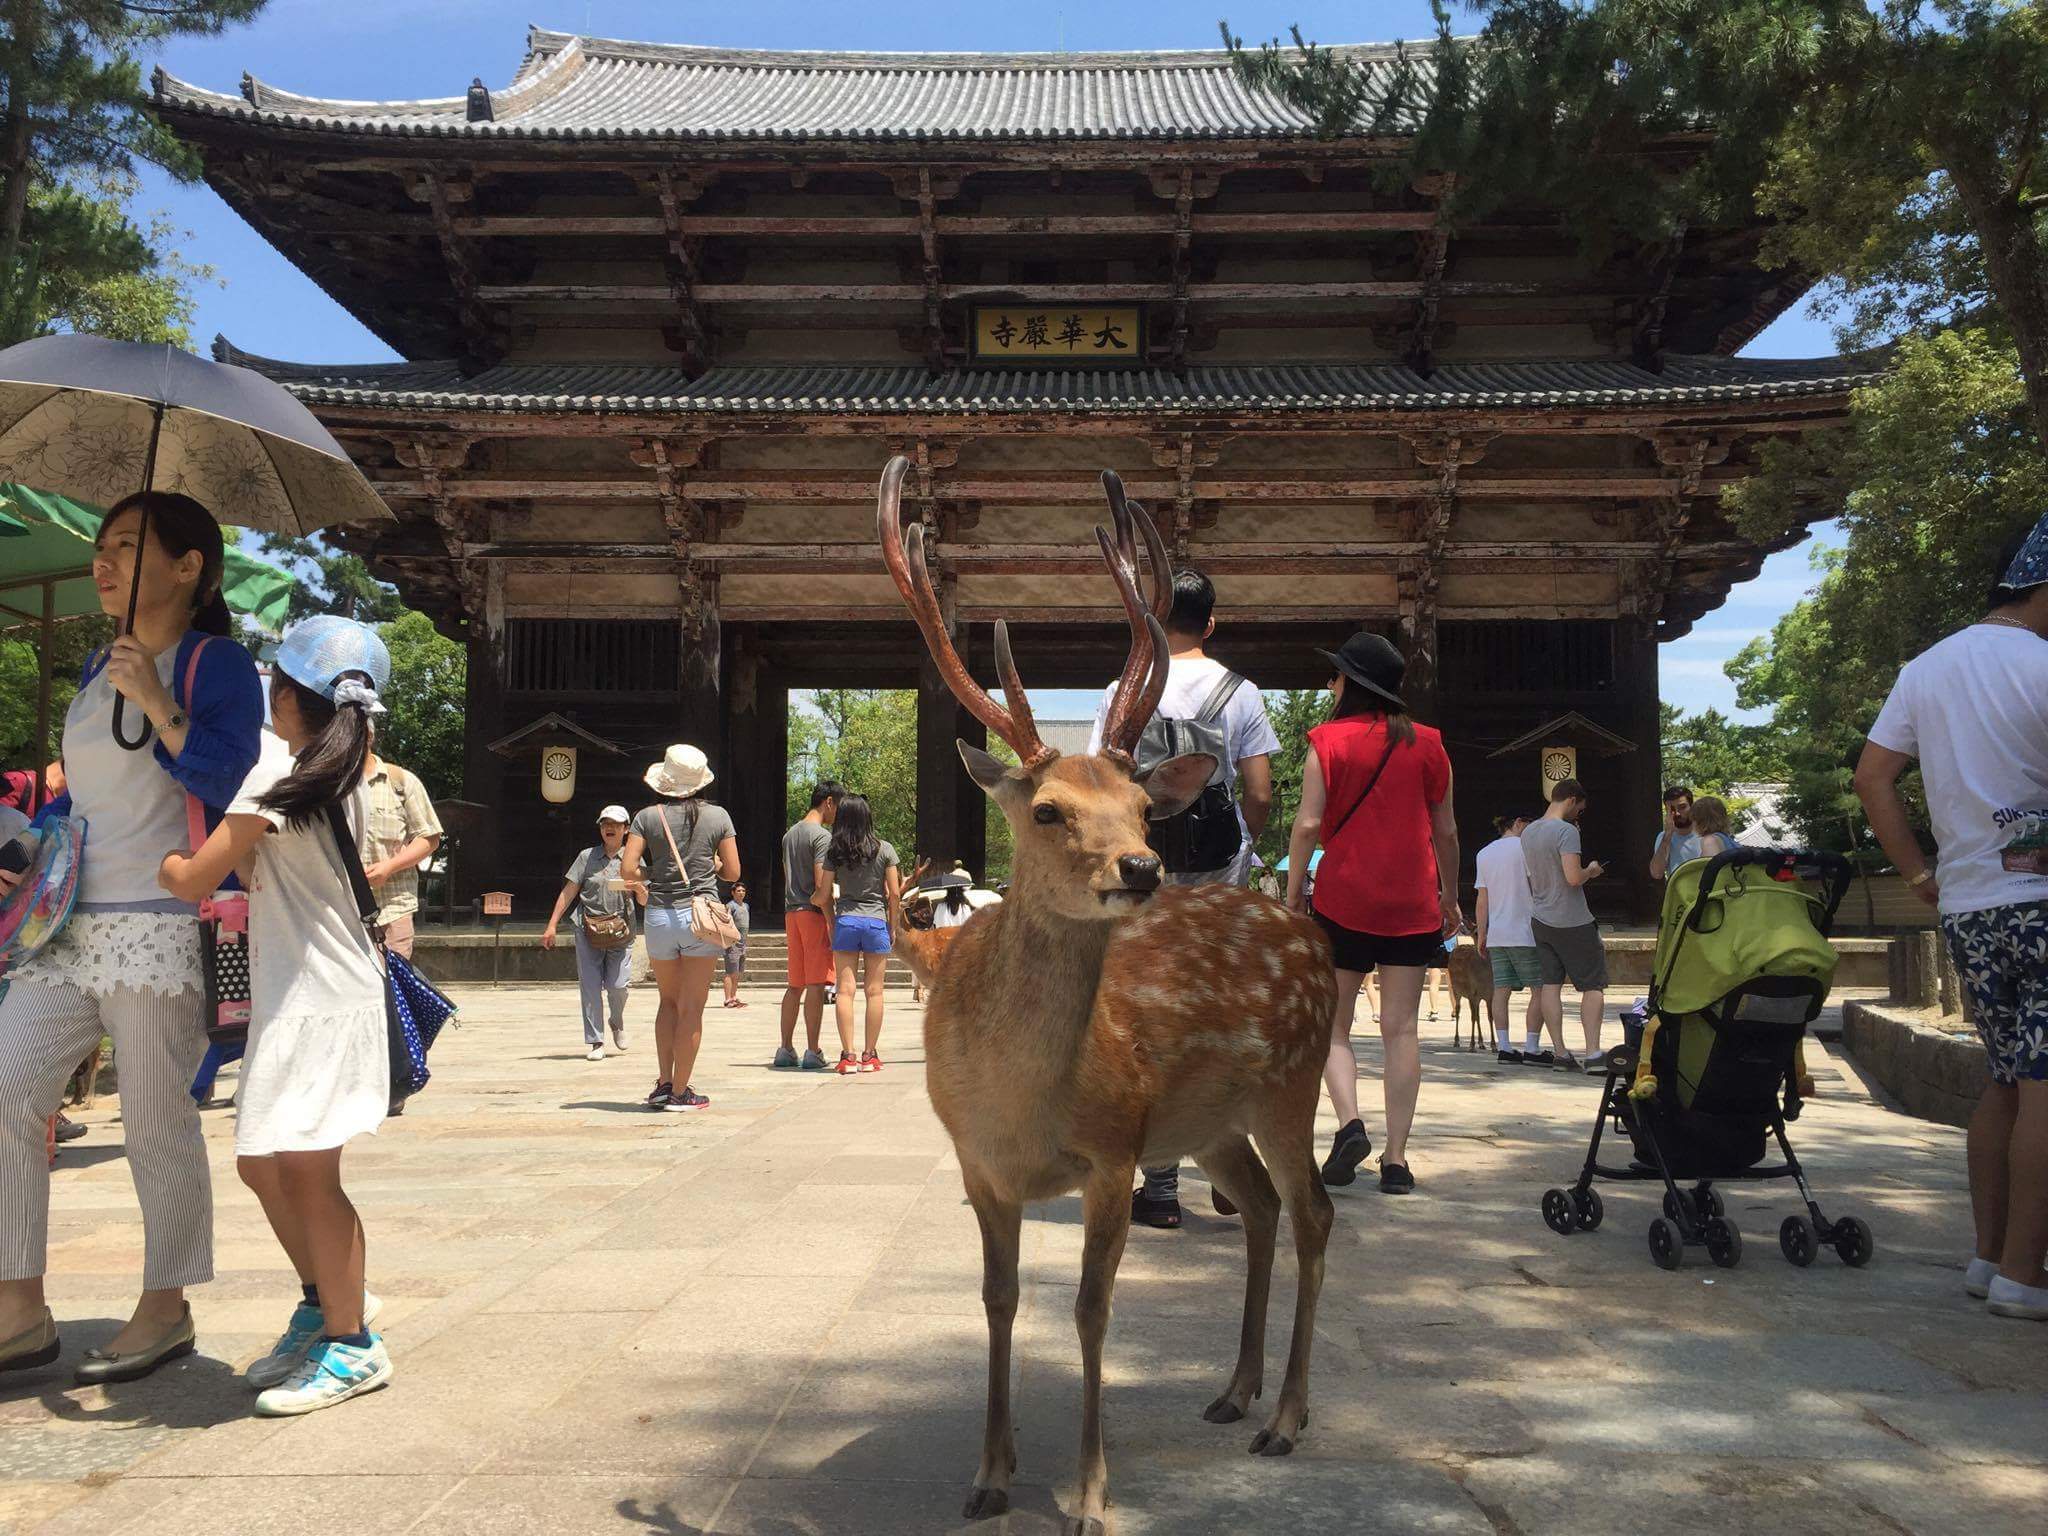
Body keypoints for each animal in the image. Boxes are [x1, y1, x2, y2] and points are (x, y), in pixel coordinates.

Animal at [880, 456, 1343, 1536]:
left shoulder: (1116, 1148)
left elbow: (1091, 1311)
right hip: (1211, 1121)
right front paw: (990, 1476)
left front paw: (1090, 1494)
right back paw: (1231, 1392)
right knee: (1261, 1209)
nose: (1141, 867)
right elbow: (999, 1300)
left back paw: (1286, 1417)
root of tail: (1303, 929)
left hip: (1289, 1083)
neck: (1024, 1108)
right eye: (1047, 810)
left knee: (1312, 1213)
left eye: (1138, 806)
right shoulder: (975, 1162)